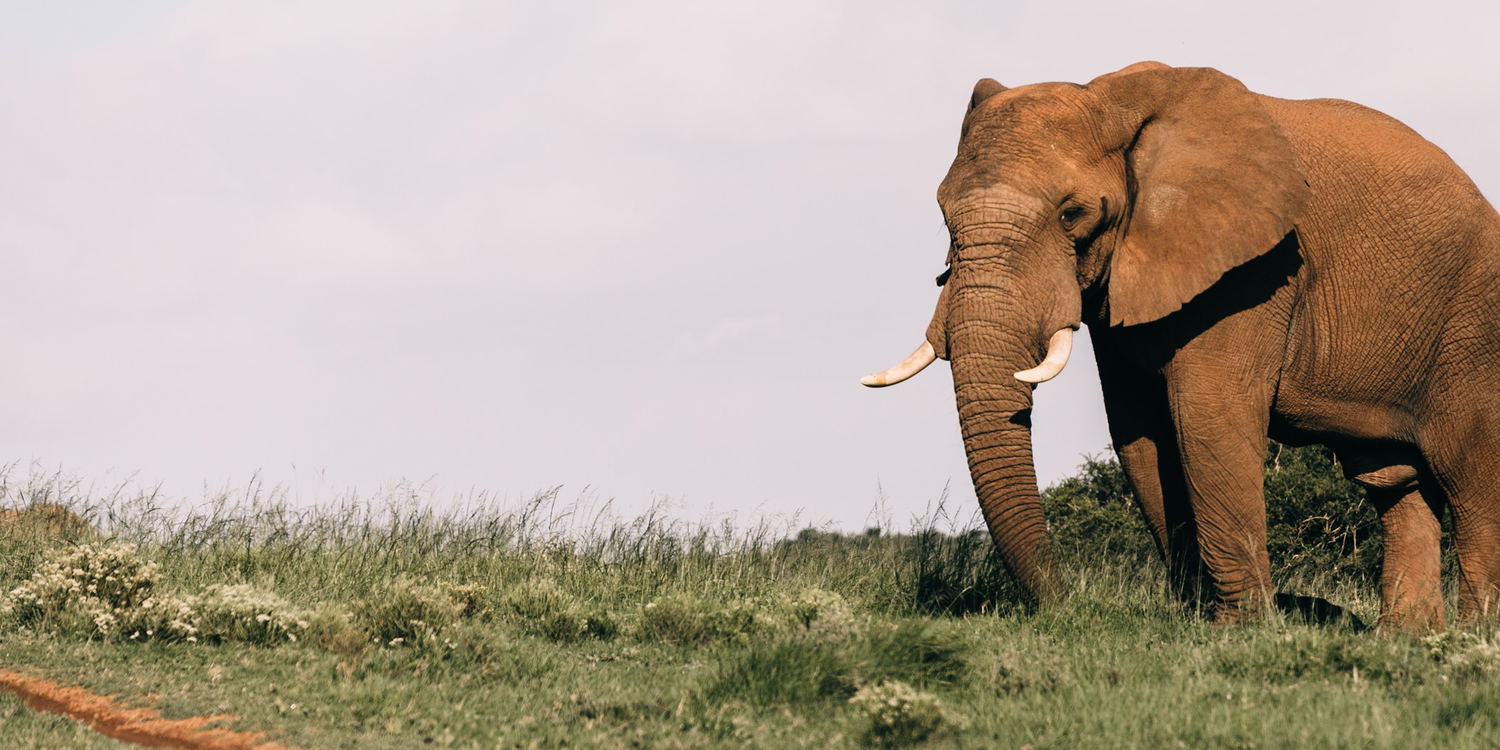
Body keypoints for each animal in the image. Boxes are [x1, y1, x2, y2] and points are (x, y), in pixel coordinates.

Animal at [862, 62, 1500, 631]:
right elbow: (1140, 430)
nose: (1066, 605)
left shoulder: (1253, 268)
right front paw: (1197, 619)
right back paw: (1407, 640)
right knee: (1394, 482)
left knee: (1470, 478)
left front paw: (1241, 632)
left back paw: (1471, 640)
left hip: (1472, 327)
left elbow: (1207, 416)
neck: (1112, 100)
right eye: (944, 216)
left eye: (1073, 214)